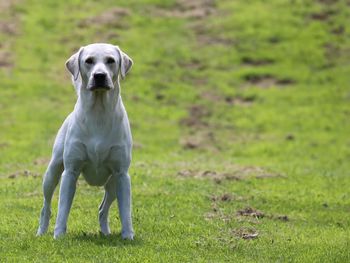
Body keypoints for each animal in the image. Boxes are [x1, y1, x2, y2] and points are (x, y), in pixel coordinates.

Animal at [36, 42, 134, 239]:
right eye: (89, 61)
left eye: (111, 60)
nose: (99, 75)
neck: (99, 112)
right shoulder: (70, 172)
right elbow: (62, 208)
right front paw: (59, 235)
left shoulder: (122, 174)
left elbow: (125, 210)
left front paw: (128, 236)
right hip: (52, 172)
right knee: (46, 206)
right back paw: (41, 231)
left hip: (113, 183)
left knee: (103, 209)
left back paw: (106, 233)